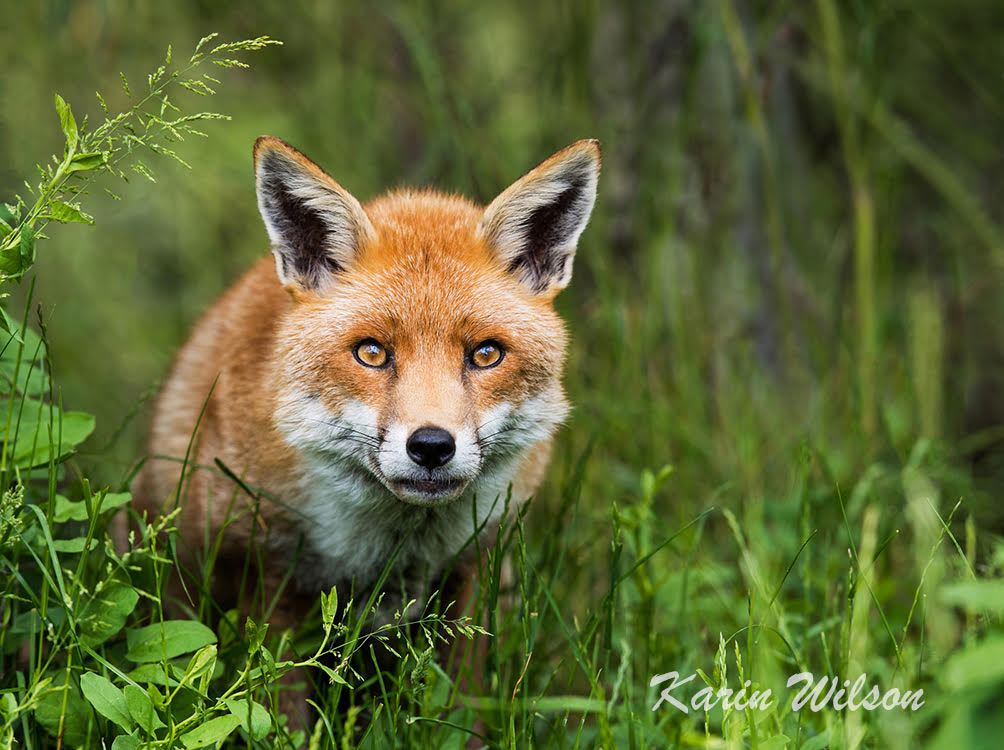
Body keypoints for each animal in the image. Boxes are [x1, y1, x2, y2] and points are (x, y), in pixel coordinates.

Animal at [137, 135, 600, 647]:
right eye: (372, 353)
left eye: (485, 354)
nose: (432, 446)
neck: (395, 551)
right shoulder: (269, 570)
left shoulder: (475, 567)